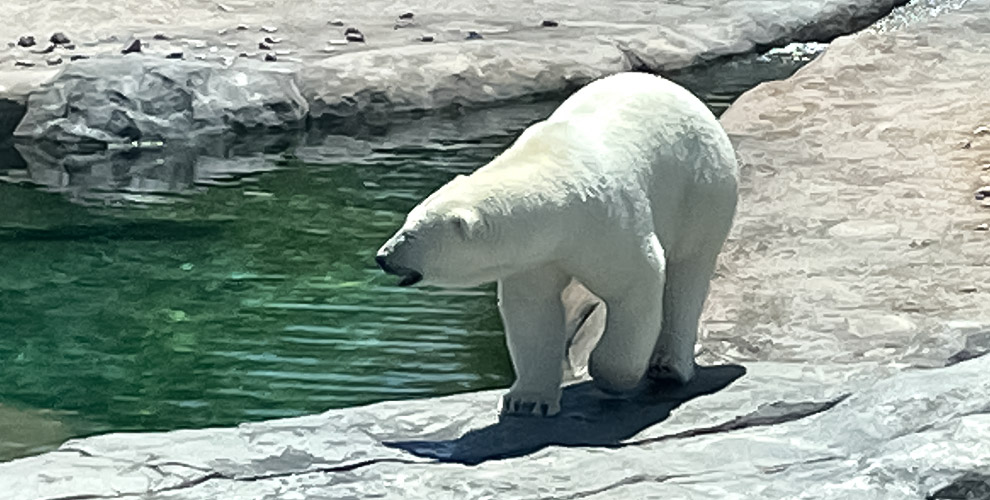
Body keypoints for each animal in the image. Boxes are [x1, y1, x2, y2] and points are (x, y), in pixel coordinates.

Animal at [376, 71, 740, 418]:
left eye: (410, 234)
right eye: (405, 222)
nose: (383, 257)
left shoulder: (608, 221)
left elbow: (636, 281)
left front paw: (608, 374)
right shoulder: (534, 256)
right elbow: (532, 309)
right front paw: (526, 401)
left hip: (702, 188)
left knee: (689, 269)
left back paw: (668, 367)